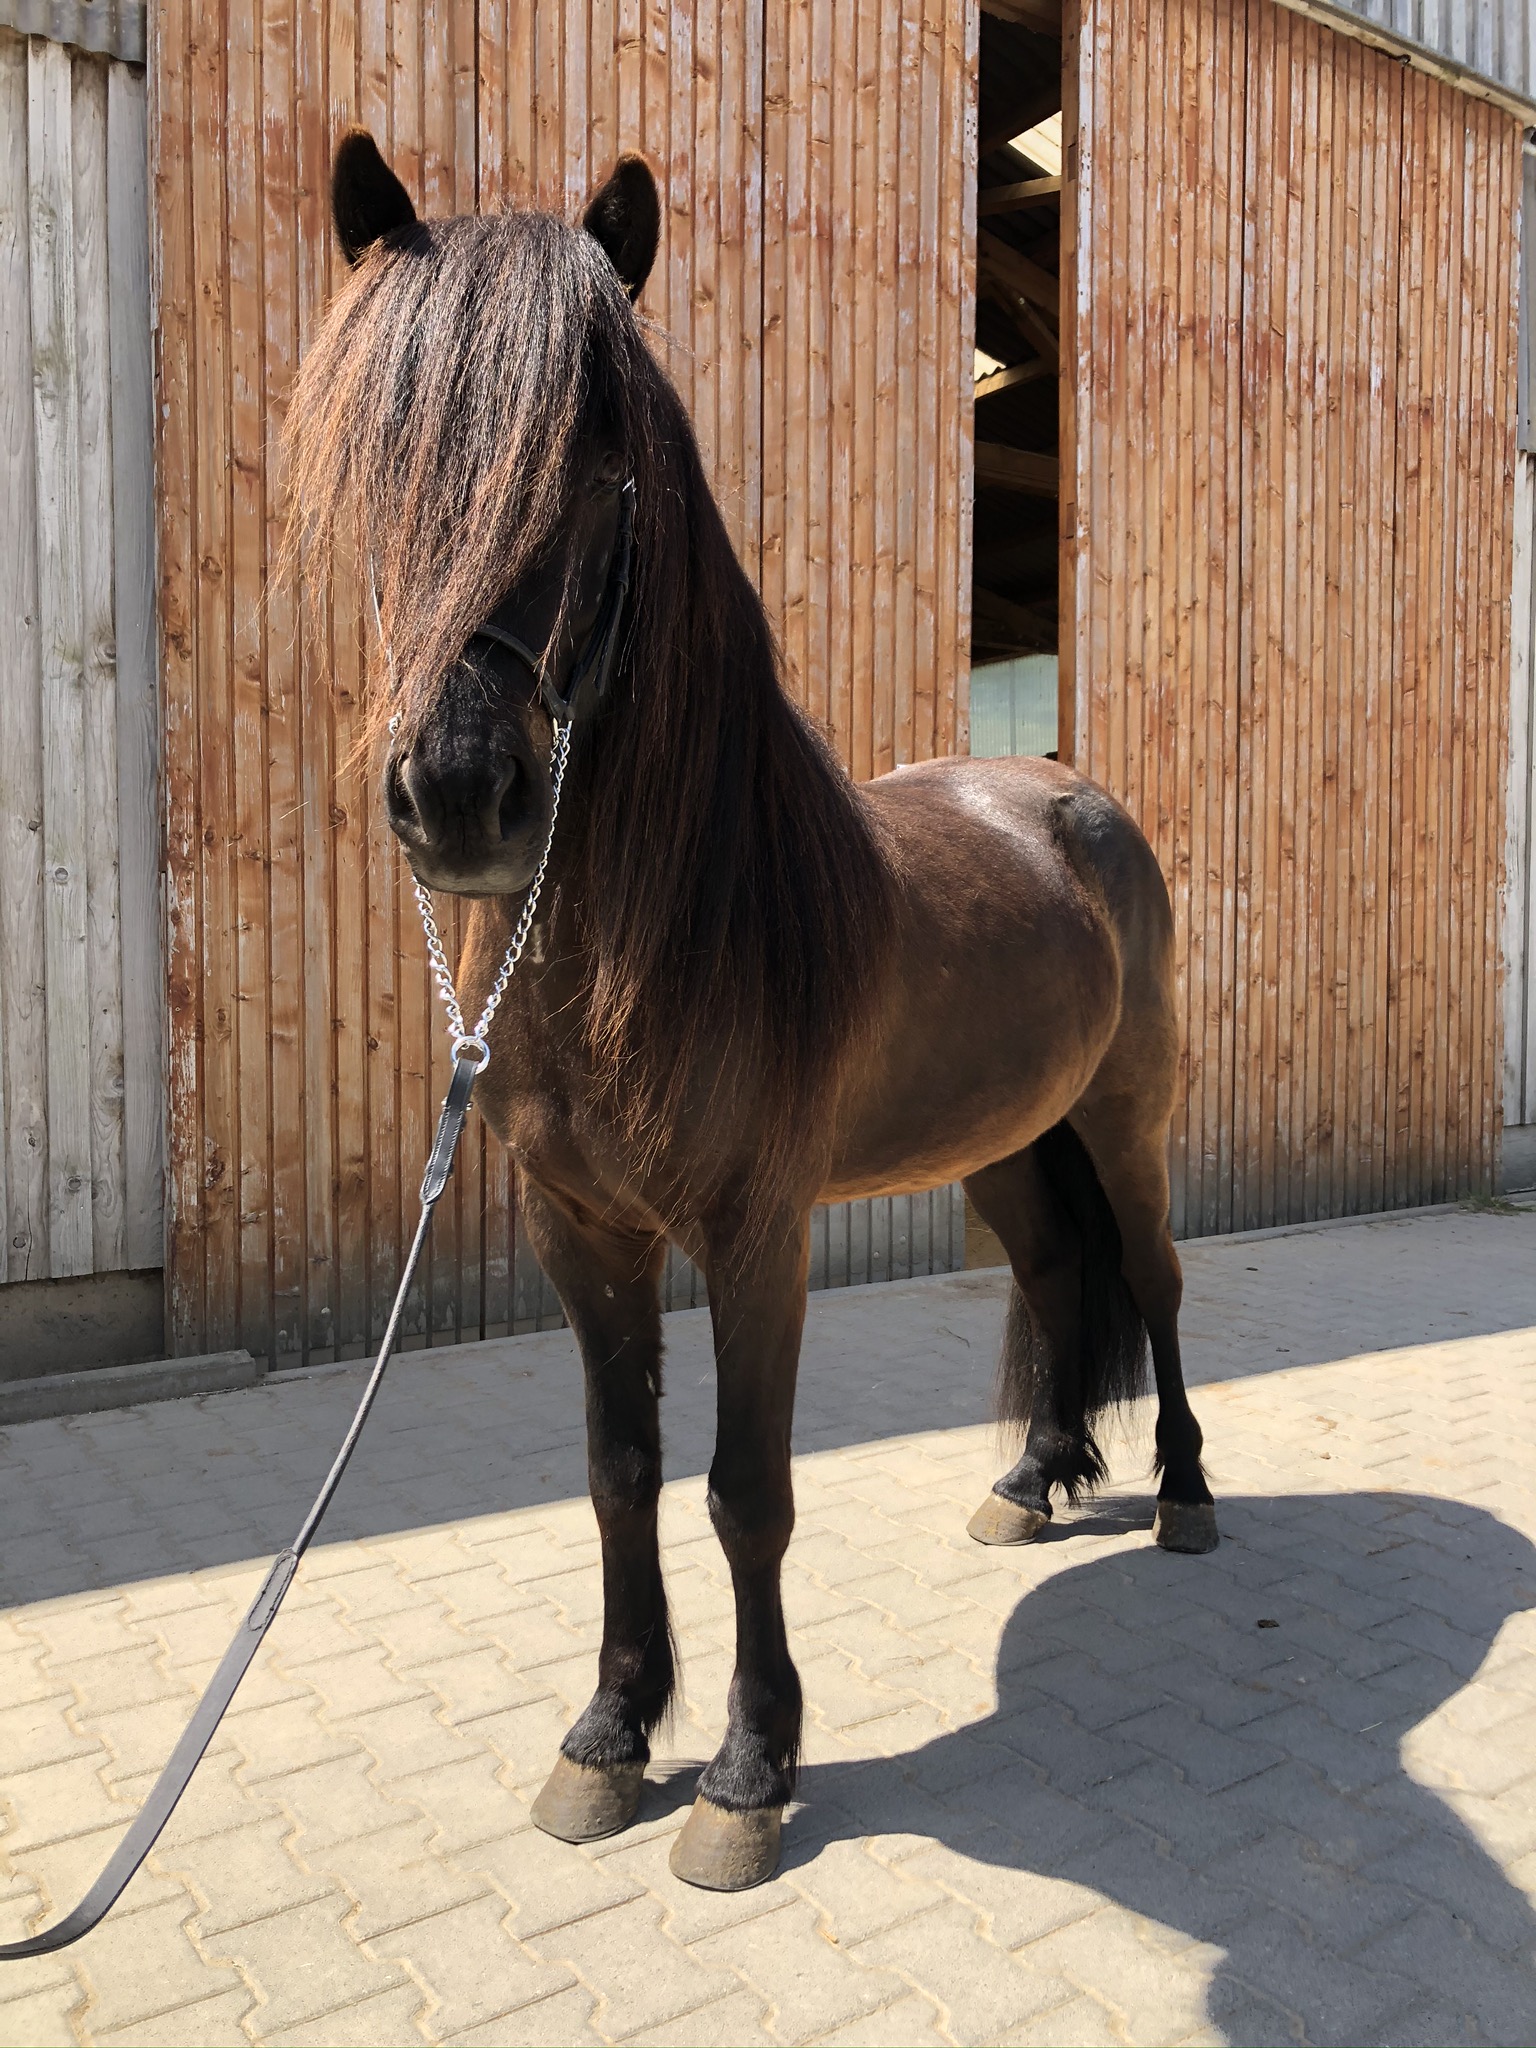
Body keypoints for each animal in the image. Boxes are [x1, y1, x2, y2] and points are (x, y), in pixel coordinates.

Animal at [283, 130, 1218, 1893]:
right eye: (382, 457)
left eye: (604, 467)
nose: (463, 798)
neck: (658, 938)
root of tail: (1069, 794)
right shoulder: (581, 1226)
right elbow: (619, 1473)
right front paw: (605, 1734)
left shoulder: (753, 1229)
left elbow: (745, 1491)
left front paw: (746, 1770)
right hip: (1007, 1138)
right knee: (1057, 1275)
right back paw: (1031, 1479)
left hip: (1120, 1119)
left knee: (1150, 1276)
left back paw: (1188, 1497)